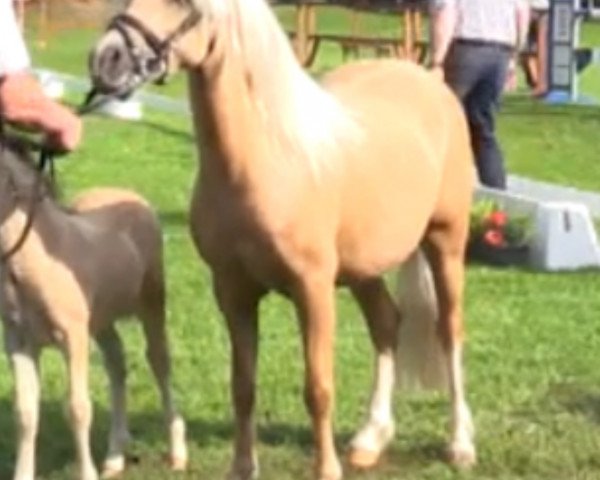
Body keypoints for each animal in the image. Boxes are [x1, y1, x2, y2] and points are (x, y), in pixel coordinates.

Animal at [0, 136, 188, 480]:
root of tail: (130, 195)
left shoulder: (73, 337)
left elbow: (77, 408)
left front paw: (86, 474)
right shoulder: (18, 342)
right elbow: (26, 412)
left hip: (152, 303)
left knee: (159, 362)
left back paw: (177, 453)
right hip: (101, 321)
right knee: (117, 363)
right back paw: (115, 456)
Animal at [88, 1, 474, 478]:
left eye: (186, 6)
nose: (106, 59)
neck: (266, 160)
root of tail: (431, 84)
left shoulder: (313, 290)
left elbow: (318, 388)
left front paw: (326, 470)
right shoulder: (233, 292)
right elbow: (242, 386)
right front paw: (241, 468)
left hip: (446, 243)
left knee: (449, 330)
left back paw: (460, 444)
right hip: (363, 269)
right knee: (387, 324)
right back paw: (370, 439)